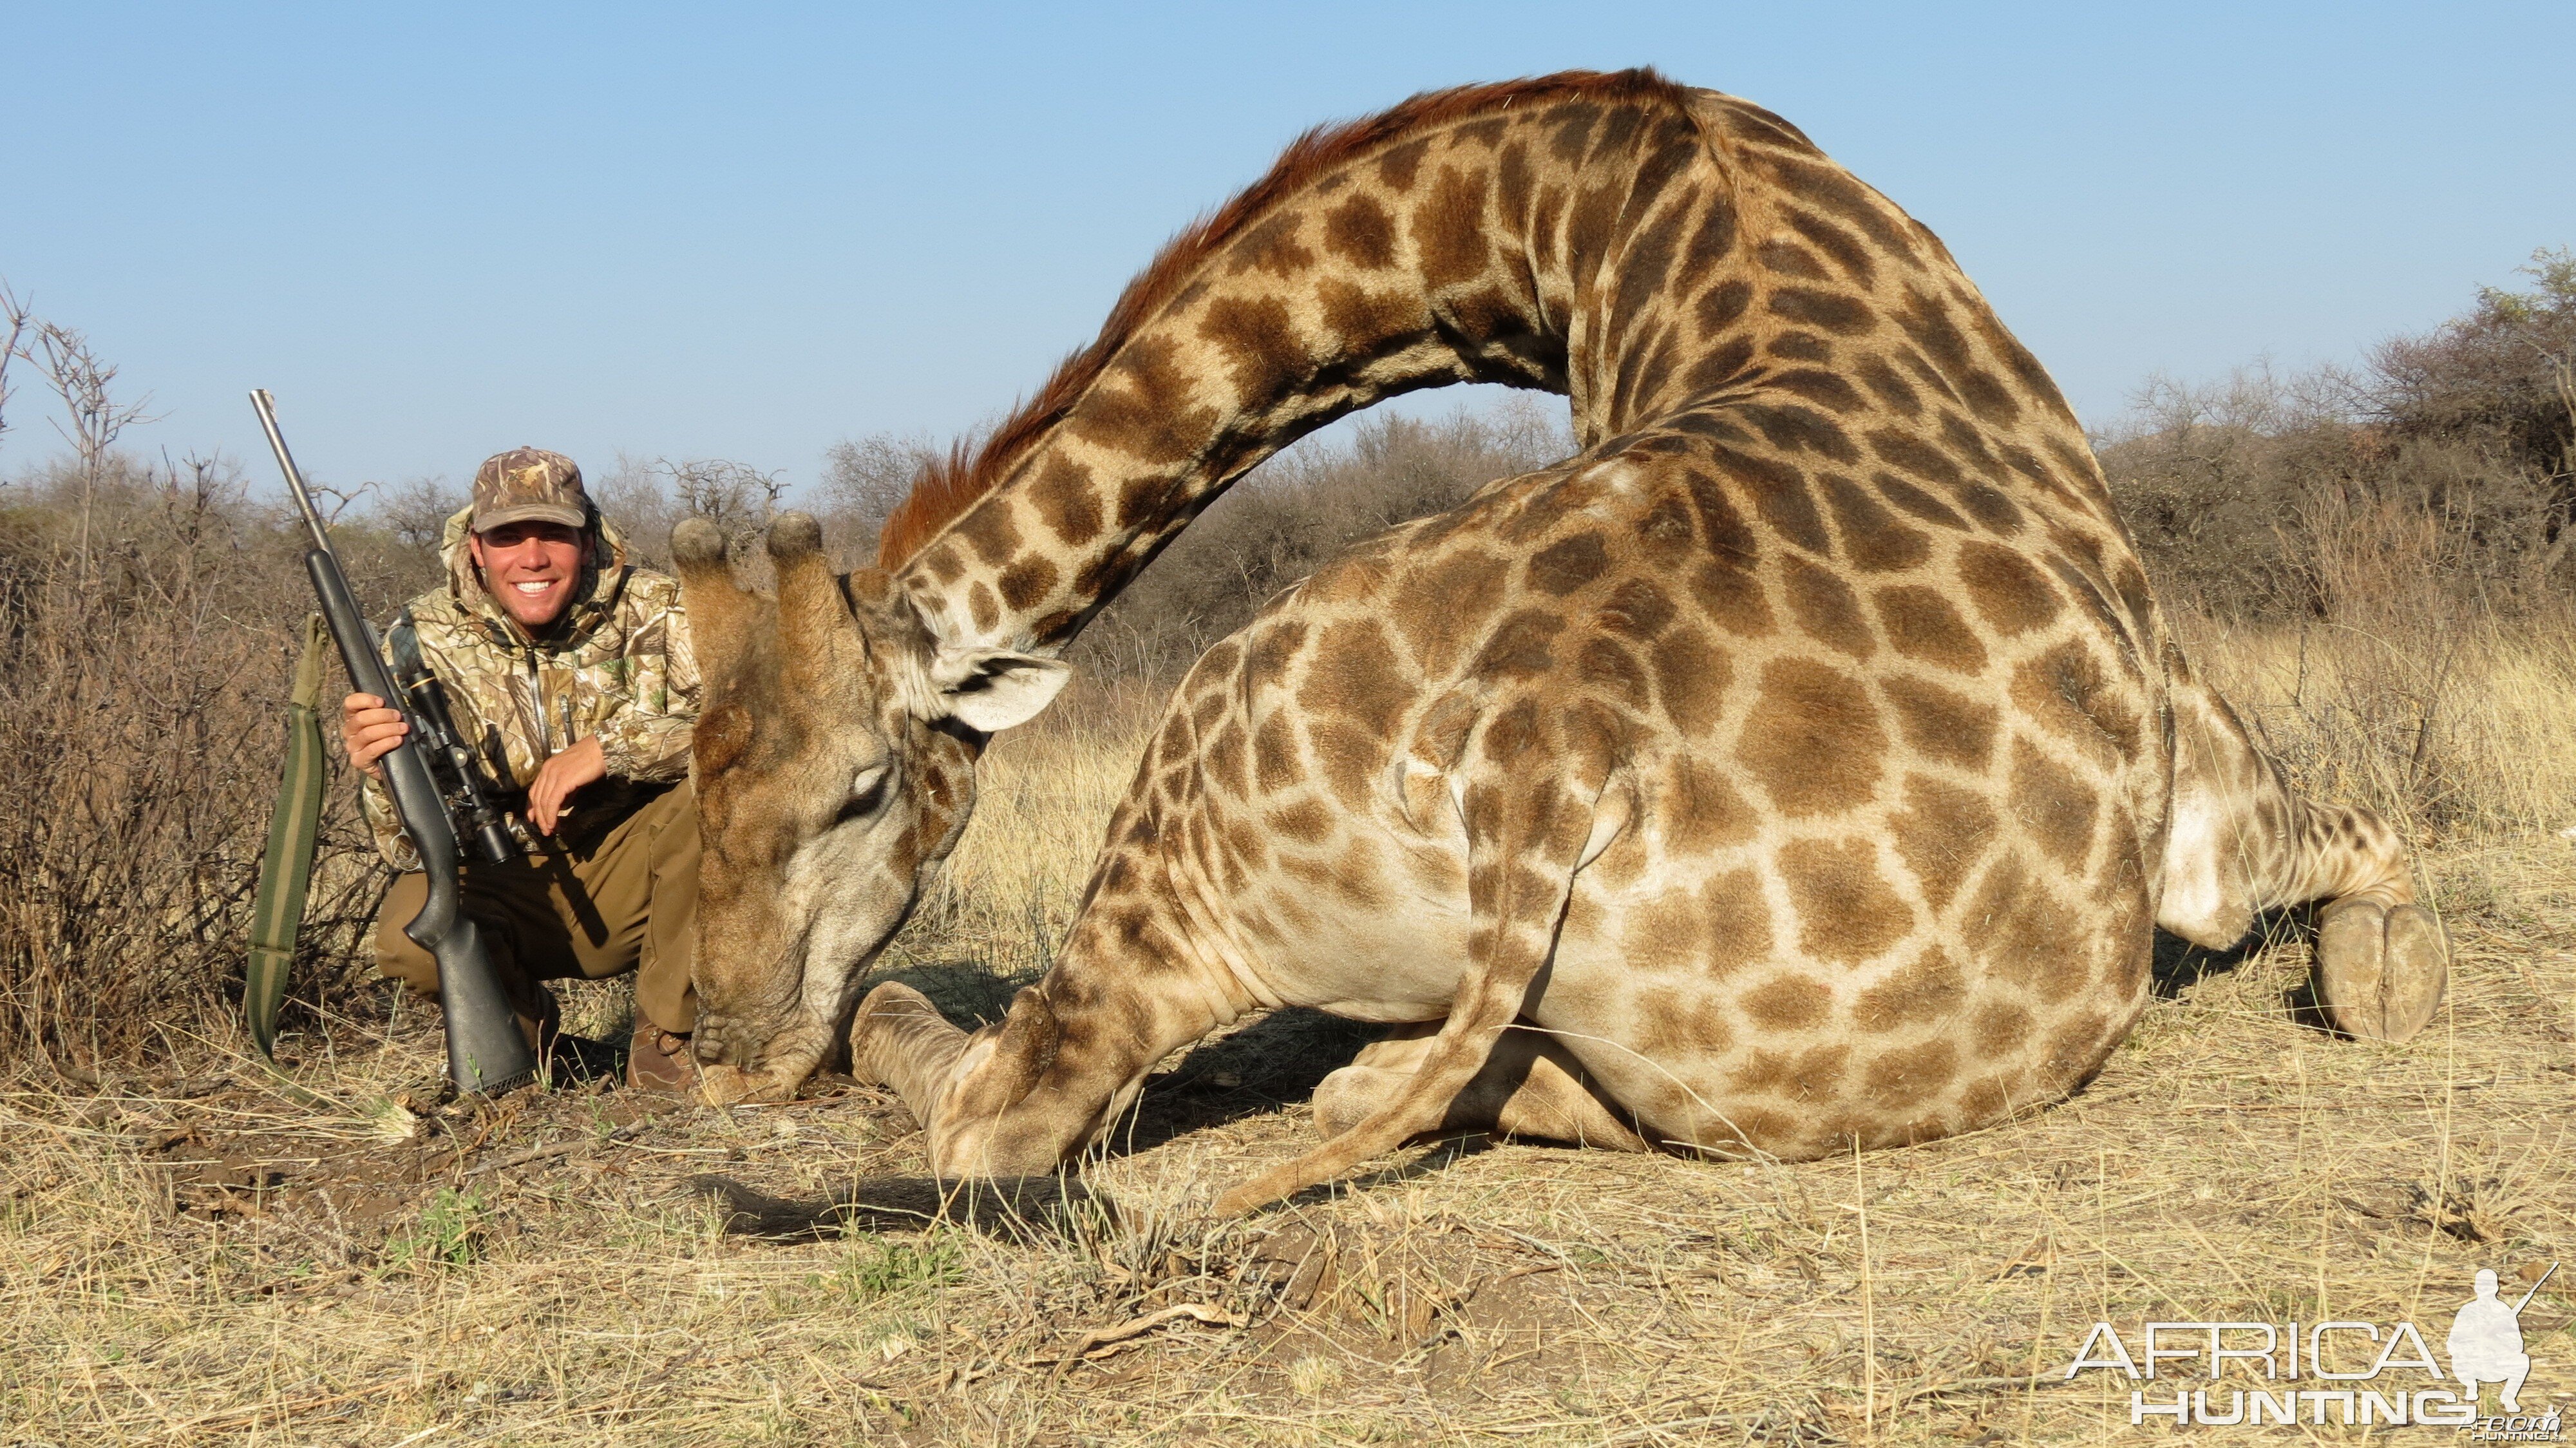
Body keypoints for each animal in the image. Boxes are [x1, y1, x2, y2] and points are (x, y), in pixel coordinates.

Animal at [675, 68, 2442, 1206]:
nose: (728, 1043)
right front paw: (2381, 982)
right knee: (1034, 1104)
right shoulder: (2196, 802)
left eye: (856, 791)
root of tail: (1547, 762)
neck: (1598, 209)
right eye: (696, 784)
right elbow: (2365, 833)